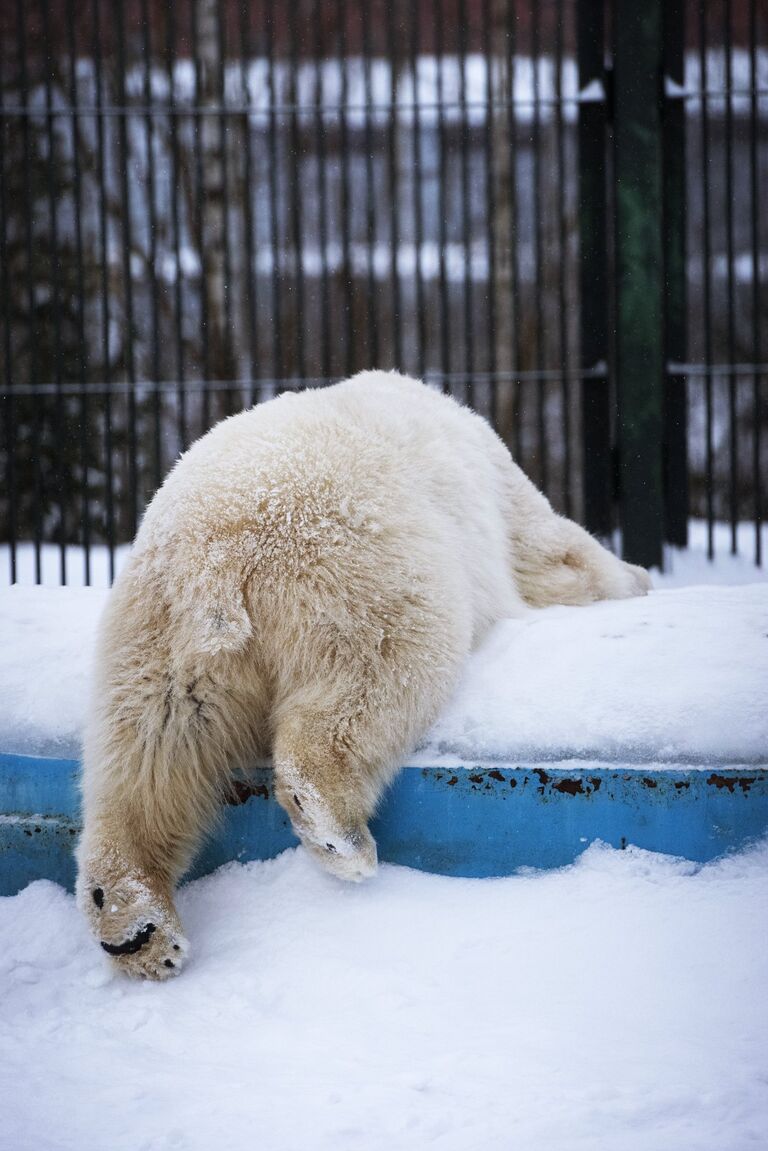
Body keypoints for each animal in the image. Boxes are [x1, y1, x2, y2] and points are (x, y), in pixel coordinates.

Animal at [74, 370, 654, 980]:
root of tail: (216, 557)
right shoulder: (501, 491)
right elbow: (555, 554)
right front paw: (634, 577)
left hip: (157, 636)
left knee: (148, 751)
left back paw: (136, 926)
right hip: (350, 572)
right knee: (379, 674)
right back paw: (340, 838)